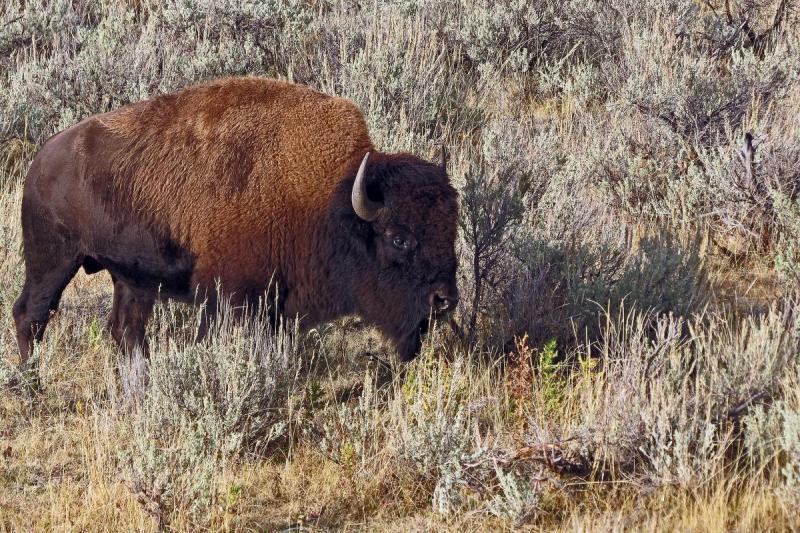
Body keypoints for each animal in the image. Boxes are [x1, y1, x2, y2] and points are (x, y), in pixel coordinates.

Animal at [13, 77, 459, 366]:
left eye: (451, 230)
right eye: (398, 238)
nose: (445, 301)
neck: (329, 197)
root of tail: (42, 158)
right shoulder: (231, 299)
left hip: (130, 278)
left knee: (126, 332)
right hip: (53, 260)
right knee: (30, 315)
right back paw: (32, 379)